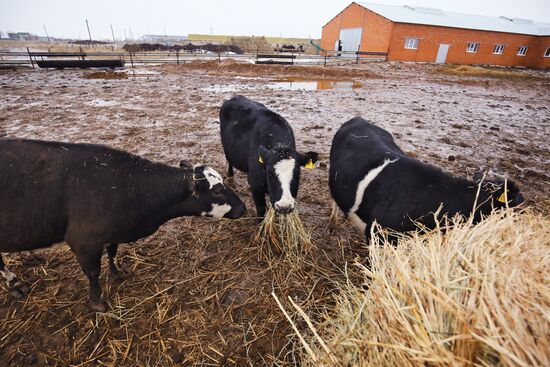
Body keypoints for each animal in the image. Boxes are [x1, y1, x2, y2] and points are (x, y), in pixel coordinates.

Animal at [0, 139, 246, 312]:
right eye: (217, 190)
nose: (243, 207)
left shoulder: (112, 232)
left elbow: (112, 252)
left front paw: (118, 272)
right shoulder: (83, 241)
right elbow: (93, 272)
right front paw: (97, 302)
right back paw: (14, 283)